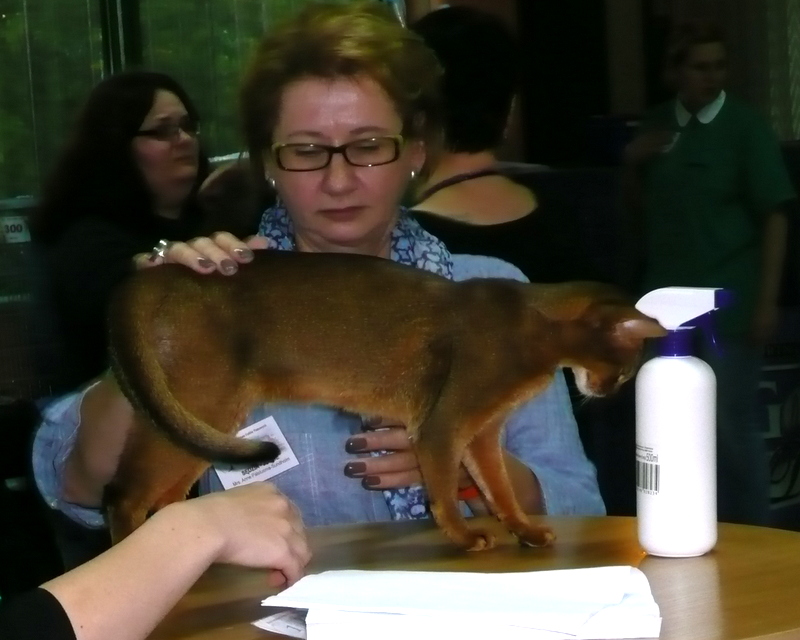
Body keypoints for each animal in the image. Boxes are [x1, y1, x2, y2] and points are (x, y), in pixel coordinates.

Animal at [105, 250, 665, 550]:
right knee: (123, 492)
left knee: (164, 497)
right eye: (624, 370)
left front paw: (525, 531)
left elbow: (501, 492)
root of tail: (158, 272)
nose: (607, 392)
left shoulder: (482, 435)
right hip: (204, 403)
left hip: (201, 420)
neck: (531, 323)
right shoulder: (442, 427)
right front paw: (464, 538)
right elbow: (444, 494)